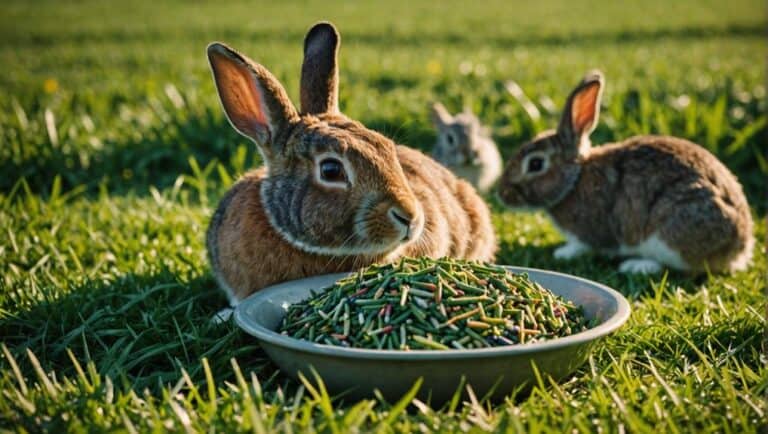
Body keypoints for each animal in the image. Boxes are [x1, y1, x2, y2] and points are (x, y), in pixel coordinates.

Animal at [497, 70, 754, 275]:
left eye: (535, 164)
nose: (502, 195)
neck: (574, 180)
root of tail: (739, 248)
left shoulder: (592, 231)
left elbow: (585, 245)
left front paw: (564, 253)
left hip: (669, 232)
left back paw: (637, 265)